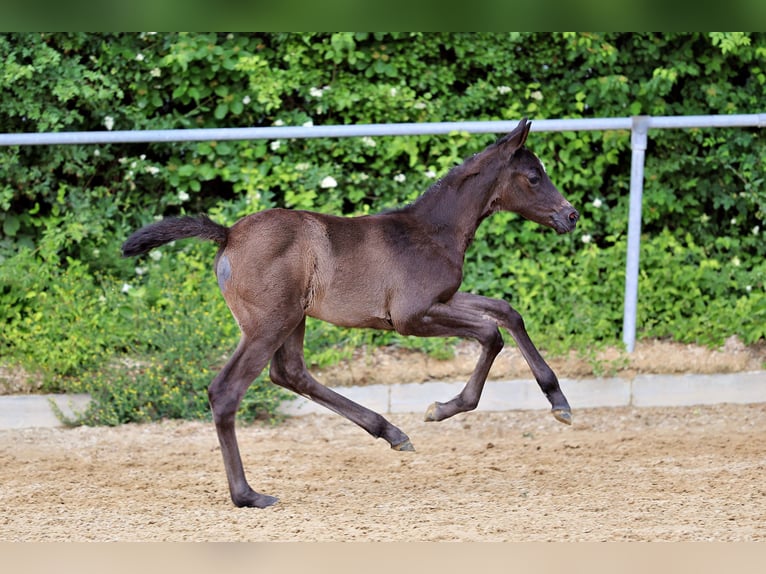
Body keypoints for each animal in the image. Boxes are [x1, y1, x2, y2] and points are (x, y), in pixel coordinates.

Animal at [122, 118, 580, 508]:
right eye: (534, 177)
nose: (571, 215)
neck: (433, 231)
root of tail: (228, 234)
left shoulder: (442, 299)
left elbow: (507, 311)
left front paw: (559, 402)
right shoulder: (412, 316)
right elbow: (490, 334)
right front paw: (442, 409)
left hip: (293, 319)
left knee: (289, 373)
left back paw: (391, 433)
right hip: (269, 323)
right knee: (227, 390)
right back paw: (248, 495)